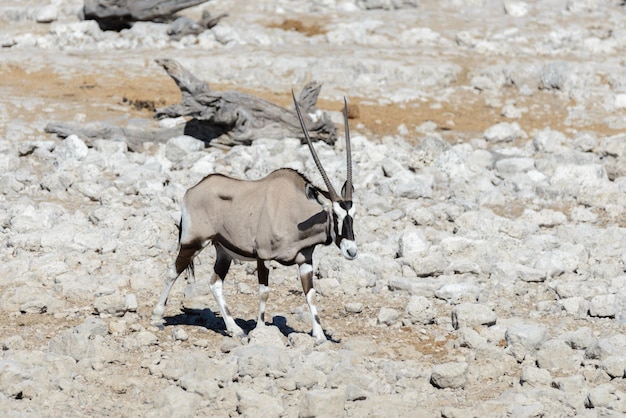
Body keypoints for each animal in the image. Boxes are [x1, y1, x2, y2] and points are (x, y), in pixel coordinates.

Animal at [151, 90, 356, 342]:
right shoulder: (263, 257)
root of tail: (192, 191)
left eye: (353, 214)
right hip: (193, 242)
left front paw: (319, 335)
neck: (295, 212)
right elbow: (264, 293)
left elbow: (310, 294)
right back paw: (157, 317)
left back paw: (235, 329)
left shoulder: (305, 260)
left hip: (223, 251)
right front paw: (260, 329)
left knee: (215, 283)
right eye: (335, 214)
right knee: (173, 272)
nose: (351, 250)